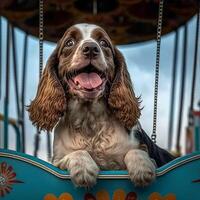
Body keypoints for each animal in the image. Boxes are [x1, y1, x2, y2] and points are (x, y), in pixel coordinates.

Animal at [27, 23, 173, 188]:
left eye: (103, 43)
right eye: (69, 43)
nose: (91, 48)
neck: (90, 120)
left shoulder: (143, 151)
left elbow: (137, 152)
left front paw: (141, 168)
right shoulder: (57, 161)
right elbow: (77, 153)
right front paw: (84, 169)